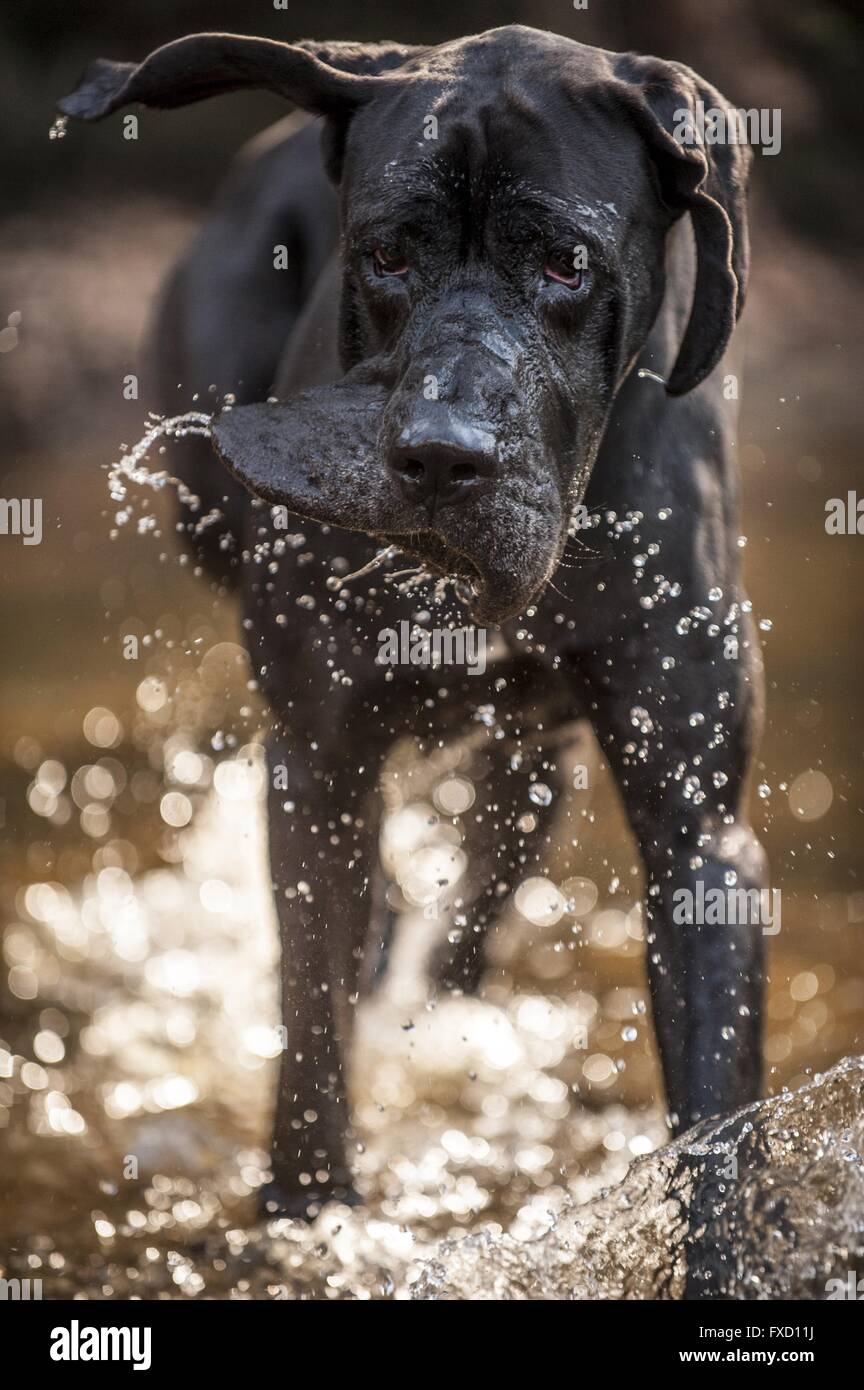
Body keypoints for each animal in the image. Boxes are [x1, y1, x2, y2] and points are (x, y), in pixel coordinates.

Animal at [59, 24, 766, 1217]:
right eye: (386, 255)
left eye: (565, 262)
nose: (443, 453)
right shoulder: (322, 763)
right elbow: (312, 1030)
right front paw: (307, 1213)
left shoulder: (698, 833)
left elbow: (719, 1110)